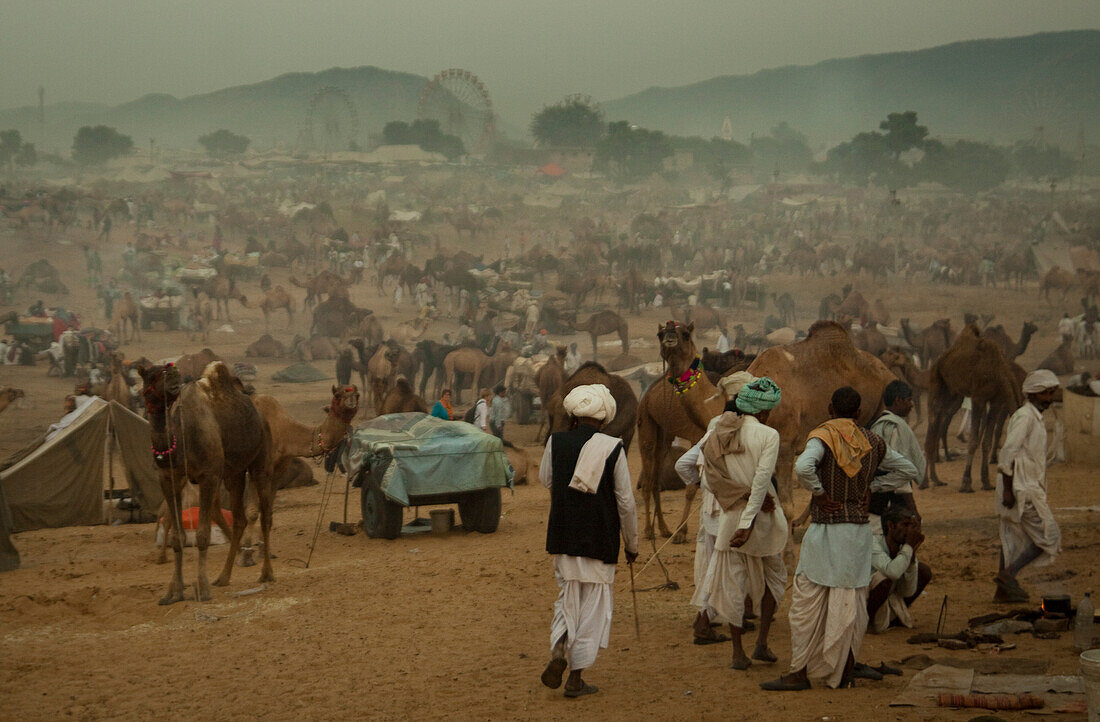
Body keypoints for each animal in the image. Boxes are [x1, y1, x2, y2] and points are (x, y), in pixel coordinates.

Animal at [139, 361, 272, 603]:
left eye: (168, 370)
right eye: (151, 375)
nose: (173, 376)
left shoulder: (208, 476)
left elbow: (202, 535)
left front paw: (201, 588)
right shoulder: (169, 479)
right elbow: (177, 536)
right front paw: (174, 591)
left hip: (261, 460)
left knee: (266, 516)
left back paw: (267, 573)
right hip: (234, 474)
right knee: (239, 519)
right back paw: (223, 577)